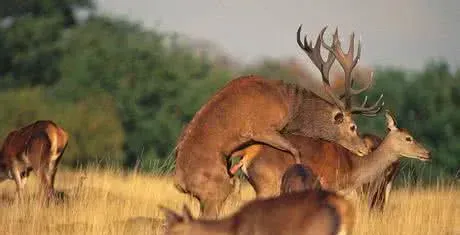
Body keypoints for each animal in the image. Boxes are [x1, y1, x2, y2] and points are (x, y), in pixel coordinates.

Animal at [174, 24, 382, 218]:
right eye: (353, 126)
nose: (363, 148)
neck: (289, 105)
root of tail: (180, 183)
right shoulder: (261, 128)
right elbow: (295, 149)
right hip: (216, 190)